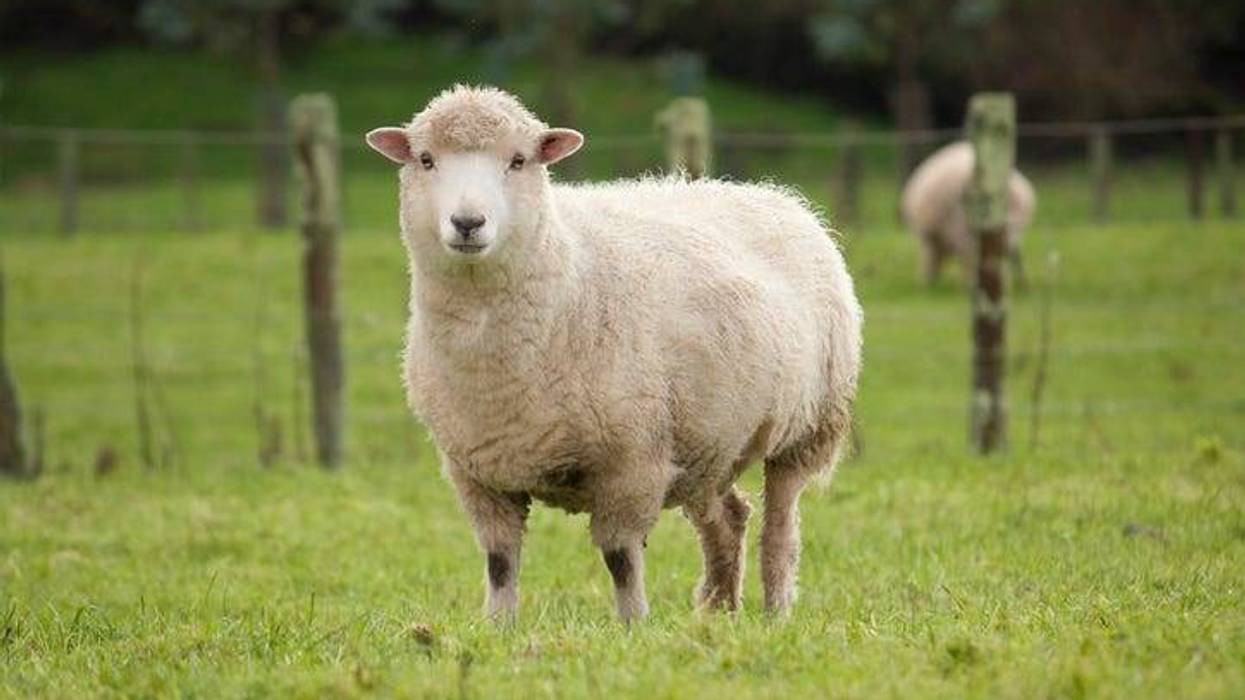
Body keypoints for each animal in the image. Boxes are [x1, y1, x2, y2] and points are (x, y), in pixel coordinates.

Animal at [365, 85, 863, 622]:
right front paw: (498, 627)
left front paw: (633, 626)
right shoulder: (478, 473)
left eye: (518, 160)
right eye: (426, 159)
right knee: (729, 518)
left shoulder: (633, 463)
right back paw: (718, 612)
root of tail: (773, 195)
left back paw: (775, 613)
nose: (467, 222)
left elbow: (621, 559)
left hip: (808, 427)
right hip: (706, 441)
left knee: (781, 529)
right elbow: (500, 561)